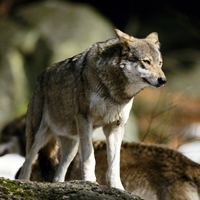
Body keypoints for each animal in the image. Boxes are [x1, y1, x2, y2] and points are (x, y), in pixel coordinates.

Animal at [18, 28, 166, 189]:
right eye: (146, 61)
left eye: (160, 63)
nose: (163, 80)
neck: (114, 92)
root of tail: (40, 77)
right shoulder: (85, 119)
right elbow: (90, 157)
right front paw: (90, 180)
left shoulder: (115, 126)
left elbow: (115, 164)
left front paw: (117, 187)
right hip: (38, 137)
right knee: (27, 163)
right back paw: (24, 182)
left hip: (72, 146)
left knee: (58, 173)